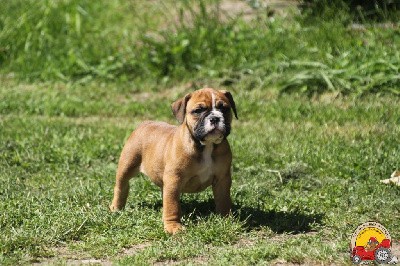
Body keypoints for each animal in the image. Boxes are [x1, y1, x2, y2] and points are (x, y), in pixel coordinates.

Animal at [109, 88, 238, 234]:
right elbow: (172, 205)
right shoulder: (174, 180)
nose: (215, 118)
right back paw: (116, 208)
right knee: (121, 186)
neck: (206, 146)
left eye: (224, 108)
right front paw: (173, 226)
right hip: (127, 165)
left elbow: (223, 200)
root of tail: (145, 123)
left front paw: (225, 218)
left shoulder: (222, 179)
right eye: (198, 110)